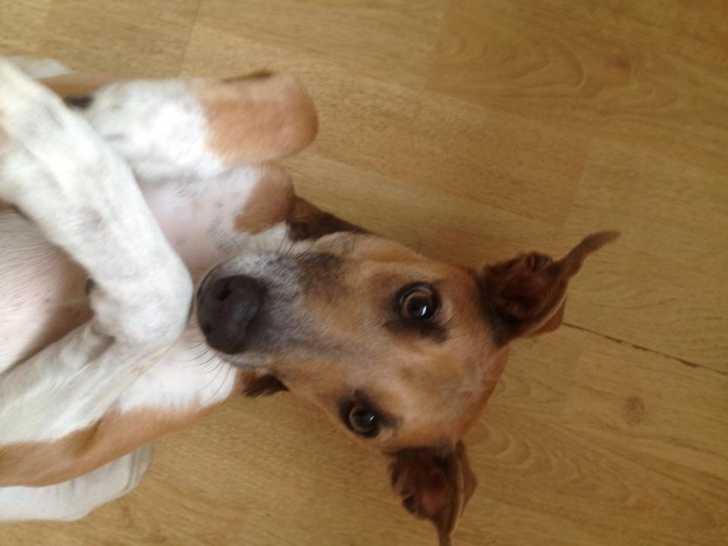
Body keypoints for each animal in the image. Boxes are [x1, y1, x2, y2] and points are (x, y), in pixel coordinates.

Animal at [0, 59, 617, 545]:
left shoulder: (29, 446)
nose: (227, 311)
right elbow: (299, 108)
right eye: (419, 304)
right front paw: (94, 121)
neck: (206, 257)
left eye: (362, 418)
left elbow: (159, 298)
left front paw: (51, 147)